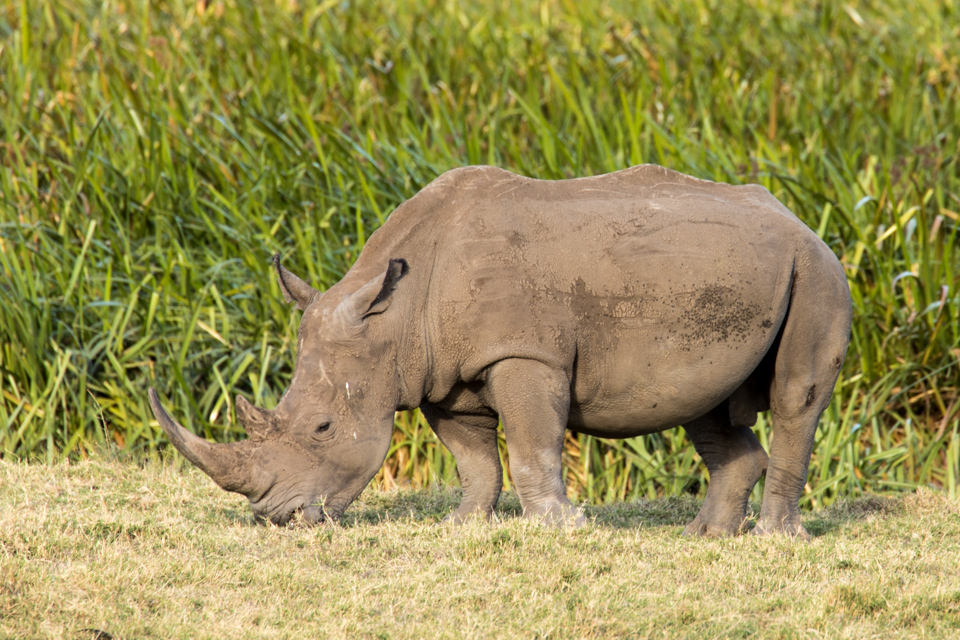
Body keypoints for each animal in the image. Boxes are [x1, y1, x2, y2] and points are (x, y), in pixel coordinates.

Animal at [149, 164, 852, 538]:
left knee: (796, 396)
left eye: (322, 427)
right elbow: (473, 458)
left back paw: (775, 537)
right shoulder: (439, 371)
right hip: (721, 282)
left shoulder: (523, 354)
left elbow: (531, 444)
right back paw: (705, 537)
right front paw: (463, 524)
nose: (278, 518)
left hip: (815, 270)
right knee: (707, 405)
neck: (393, 315)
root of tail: (799, 219)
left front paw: (559, 528)